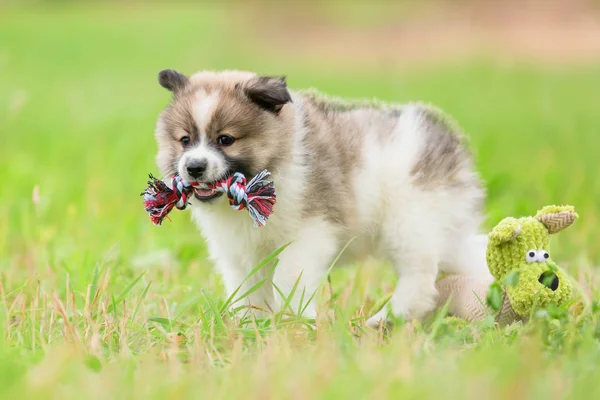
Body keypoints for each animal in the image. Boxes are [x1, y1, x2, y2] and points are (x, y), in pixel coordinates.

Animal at [155, 69, 488, 324]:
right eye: (185, 140)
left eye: (225, 139)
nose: (193, 167)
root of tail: (454, 152)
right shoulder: (240, 252)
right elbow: (246, 288)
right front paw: (251, 327)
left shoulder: (310, 233)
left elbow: (287, 279)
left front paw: (297, 320)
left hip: (410, 222)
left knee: (419, 279)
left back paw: (384, 320)